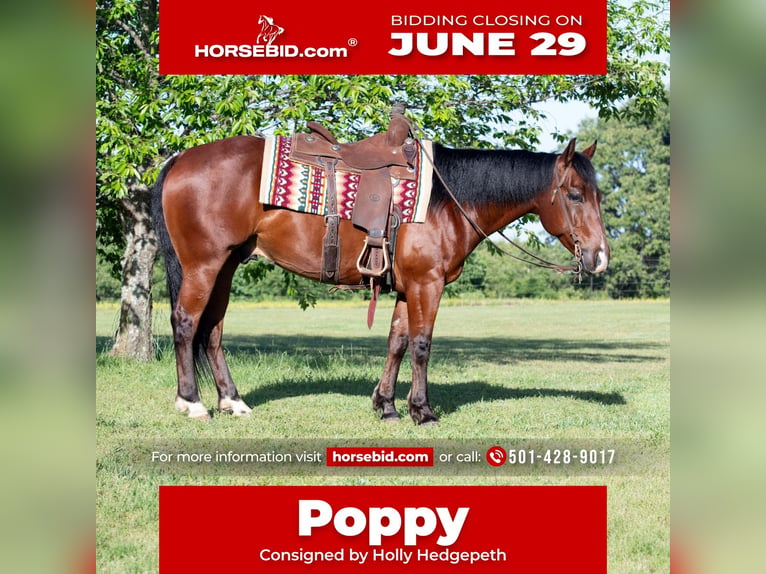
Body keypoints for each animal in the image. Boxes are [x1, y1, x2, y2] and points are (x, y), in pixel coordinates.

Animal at [151, 133, 609, 424]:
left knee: (212, 331)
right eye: (574, 195)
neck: (447, 199)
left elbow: (397, 342)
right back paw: (192, 403)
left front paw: (386, 406)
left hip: (227, 265)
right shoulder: (428, 284)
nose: (600, 257)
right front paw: (422, 411)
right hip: (203, 265)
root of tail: (179, 159)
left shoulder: (408, 288)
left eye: (599, 195)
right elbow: (422, 345)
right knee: (186, 324)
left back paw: (233, 402)